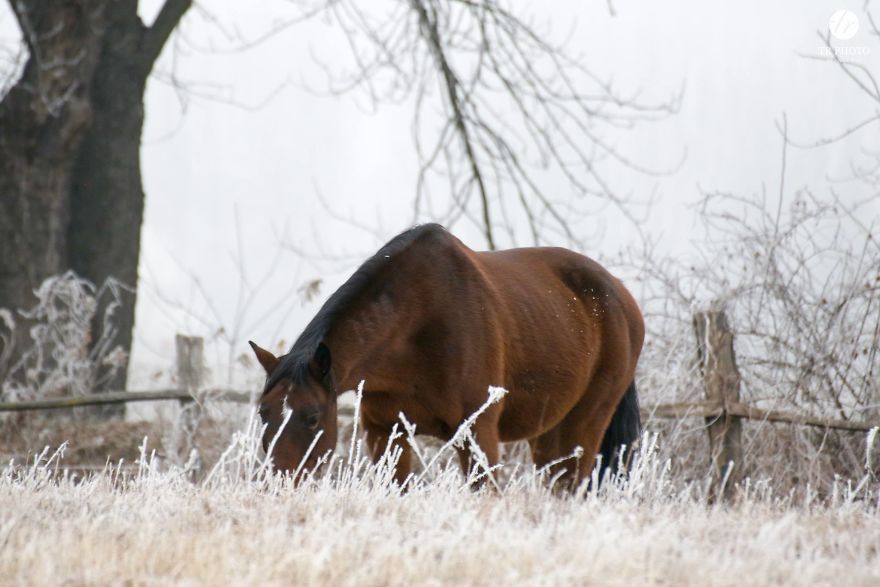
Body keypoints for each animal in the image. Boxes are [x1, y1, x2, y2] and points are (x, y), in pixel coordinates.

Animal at [249, 223, 644, 490]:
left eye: (313, 417)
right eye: (263, 412)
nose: (276, 483)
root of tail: (621, 296)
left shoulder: (478, 432)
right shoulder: (385, 432)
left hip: (584, 426)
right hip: (548, 433)